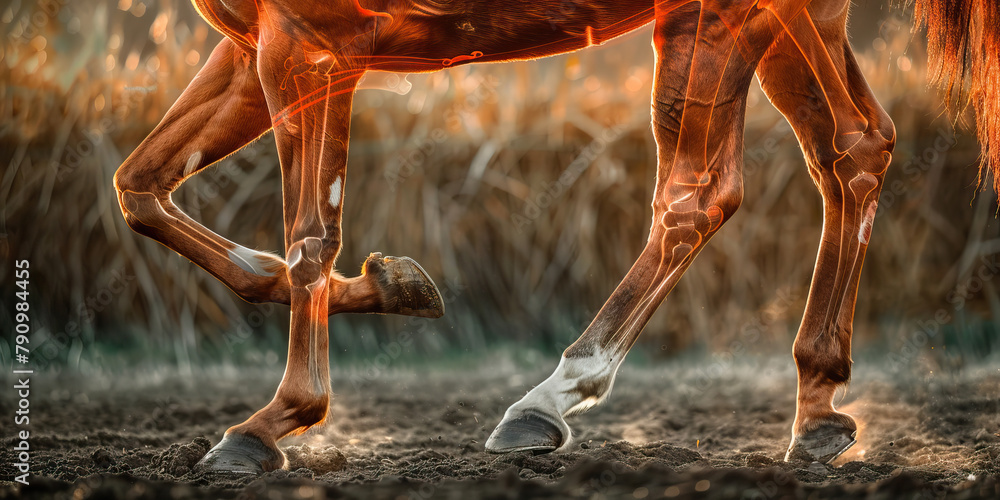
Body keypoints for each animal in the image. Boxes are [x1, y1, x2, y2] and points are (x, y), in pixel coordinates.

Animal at [113, 0, 999, 473]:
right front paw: (396, 284)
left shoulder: (308, 51)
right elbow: (140, 190)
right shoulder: (251, 47)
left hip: (718, 20)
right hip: (796, 19)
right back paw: (817, 408)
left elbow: (309, 241)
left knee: (696, 196)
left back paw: (548, 399)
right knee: (852, 152)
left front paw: (275, 421)